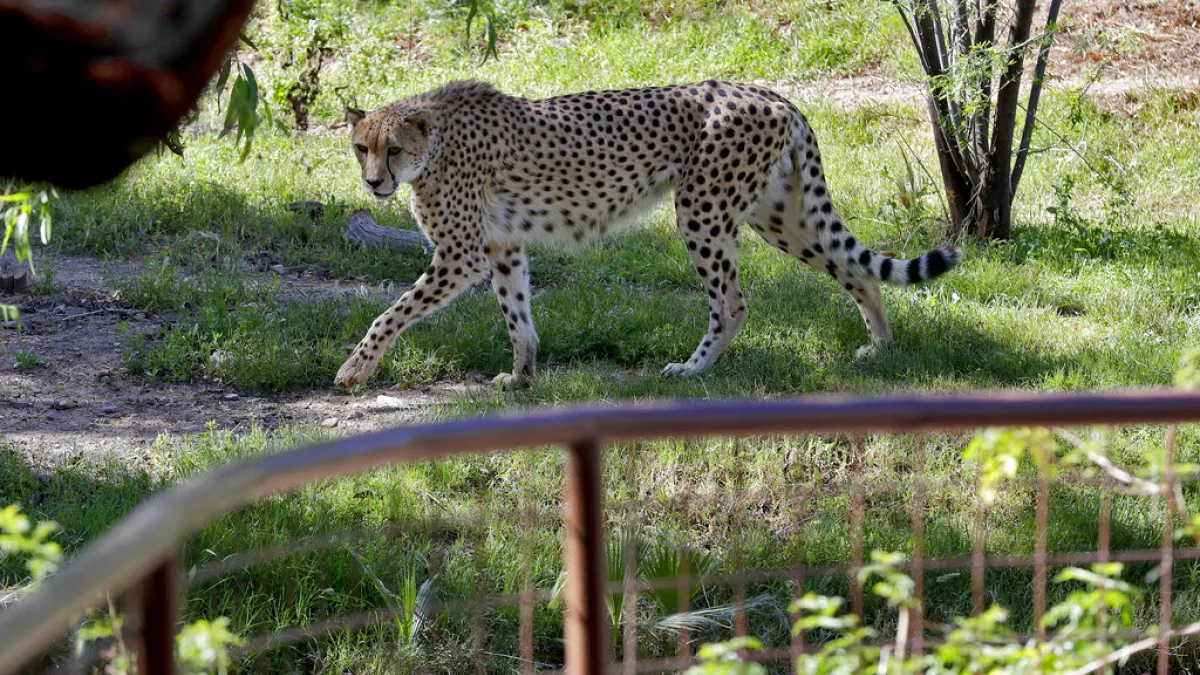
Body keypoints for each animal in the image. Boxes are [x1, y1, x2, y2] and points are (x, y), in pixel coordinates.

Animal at [335, 80, 961, 390]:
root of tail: (769, 92)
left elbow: (390, 313)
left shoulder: (461, 254)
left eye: (394, 149)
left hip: (702, 210)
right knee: (856, 270)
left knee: (732, 303)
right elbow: (518, 315)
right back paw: (880, 347)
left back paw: (693, 369)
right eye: (362, 147)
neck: (434, 141)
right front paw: (523, 375)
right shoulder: (501, 246)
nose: (373, 182)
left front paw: (353, 372)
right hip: (780, 215)